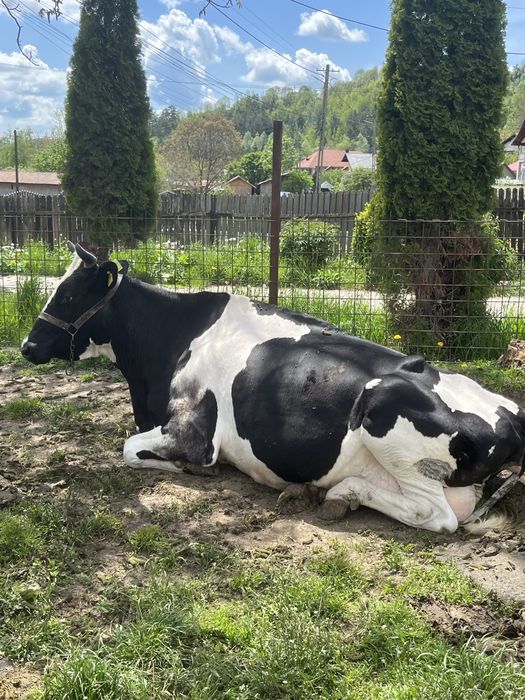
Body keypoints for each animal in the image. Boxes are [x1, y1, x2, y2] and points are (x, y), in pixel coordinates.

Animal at [21, 243, 525, 533]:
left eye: (67, 295)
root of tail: (513, 417)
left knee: (437, 516)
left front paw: (188, 469)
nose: (27, 346)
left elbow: (131, 449)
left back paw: (341, 494)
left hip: (385, 412)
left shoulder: (194, 433)